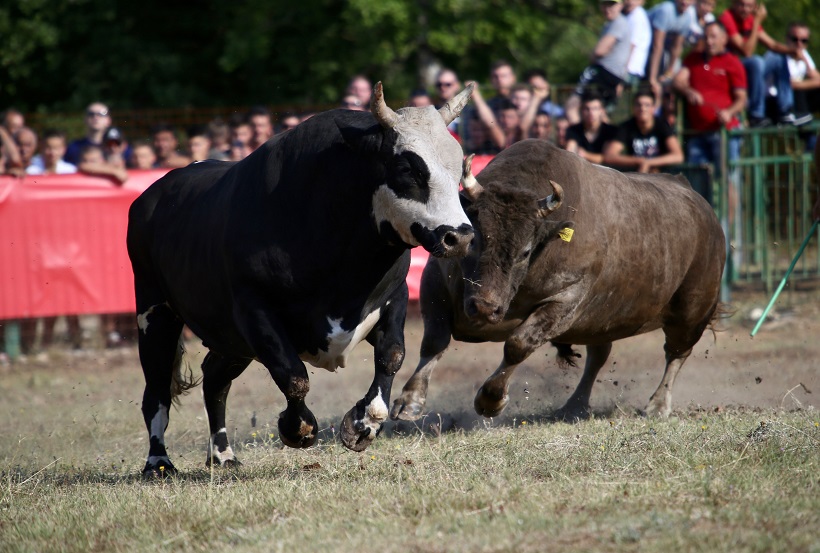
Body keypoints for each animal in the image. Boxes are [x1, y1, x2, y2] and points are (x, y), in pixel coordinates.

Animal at [394, 138, 728, 418]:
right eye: (474, 239)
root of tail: (707, 213)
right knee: (599, 356)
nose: (485, 308)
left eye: (526, 251)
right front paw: (410, 400)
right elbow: (435, 341)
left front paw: (490, 399)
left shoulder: (568, 300)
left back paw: (658, 405)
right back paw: (574, 405)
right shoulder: (434, 280)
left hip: (692, 310)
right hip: (601, 321)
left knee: (677, 353)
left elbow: (517, 345)